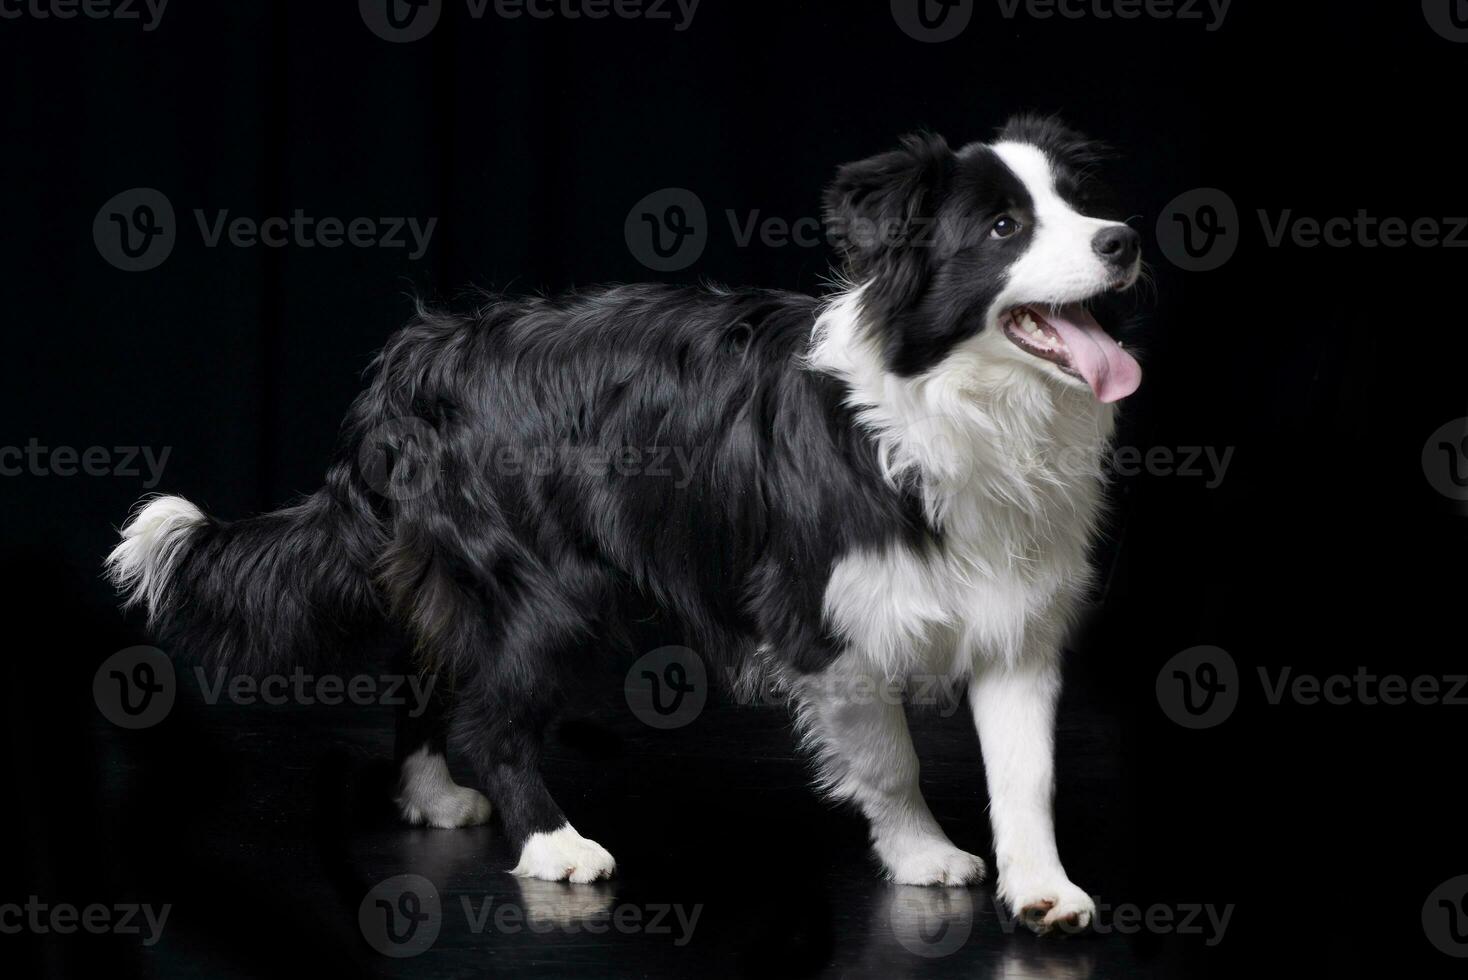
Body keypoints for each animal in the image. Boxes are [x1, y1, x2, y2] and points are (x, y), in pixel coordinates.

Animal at [114, 118, 1145, 938]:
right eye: (1006, 227)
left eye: (1078, 203)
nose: (1126, 238)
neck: (961, 404)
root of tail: (416, 359)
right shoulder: (819, 620)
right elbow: (889, 759)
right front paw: (922, 855)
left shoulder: (1017, 612)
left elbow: (1028, 773)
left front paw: (1044, 890)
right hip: (542, 583)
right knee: (491, 713)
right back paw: (554, 843)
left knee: (429, 663)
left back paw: (434, 795)